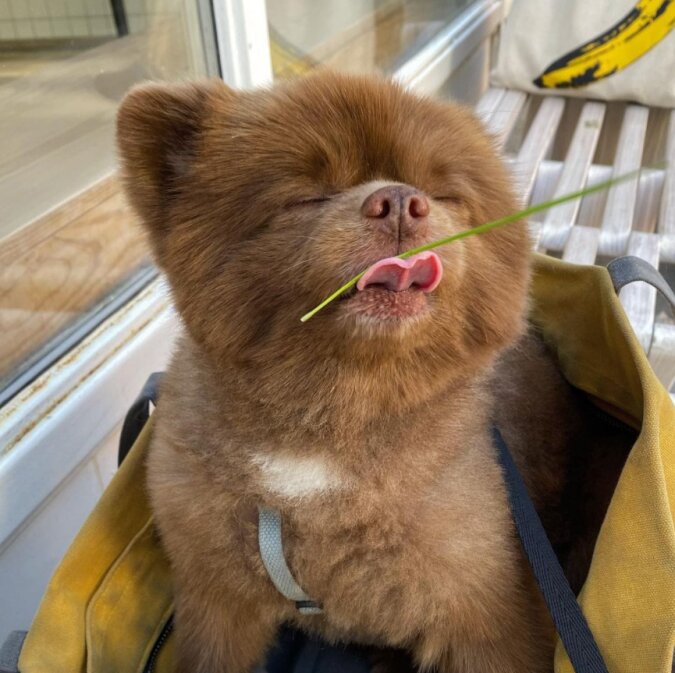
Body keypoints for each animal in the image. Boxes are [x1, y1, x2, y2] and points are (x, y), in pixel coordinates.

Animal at [117, 73, 624, 672]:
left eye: (445, 194)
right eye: (307, 195)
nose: (400, 200)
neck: (326, 437)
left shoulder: (491, 616)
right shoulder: (214, 597)